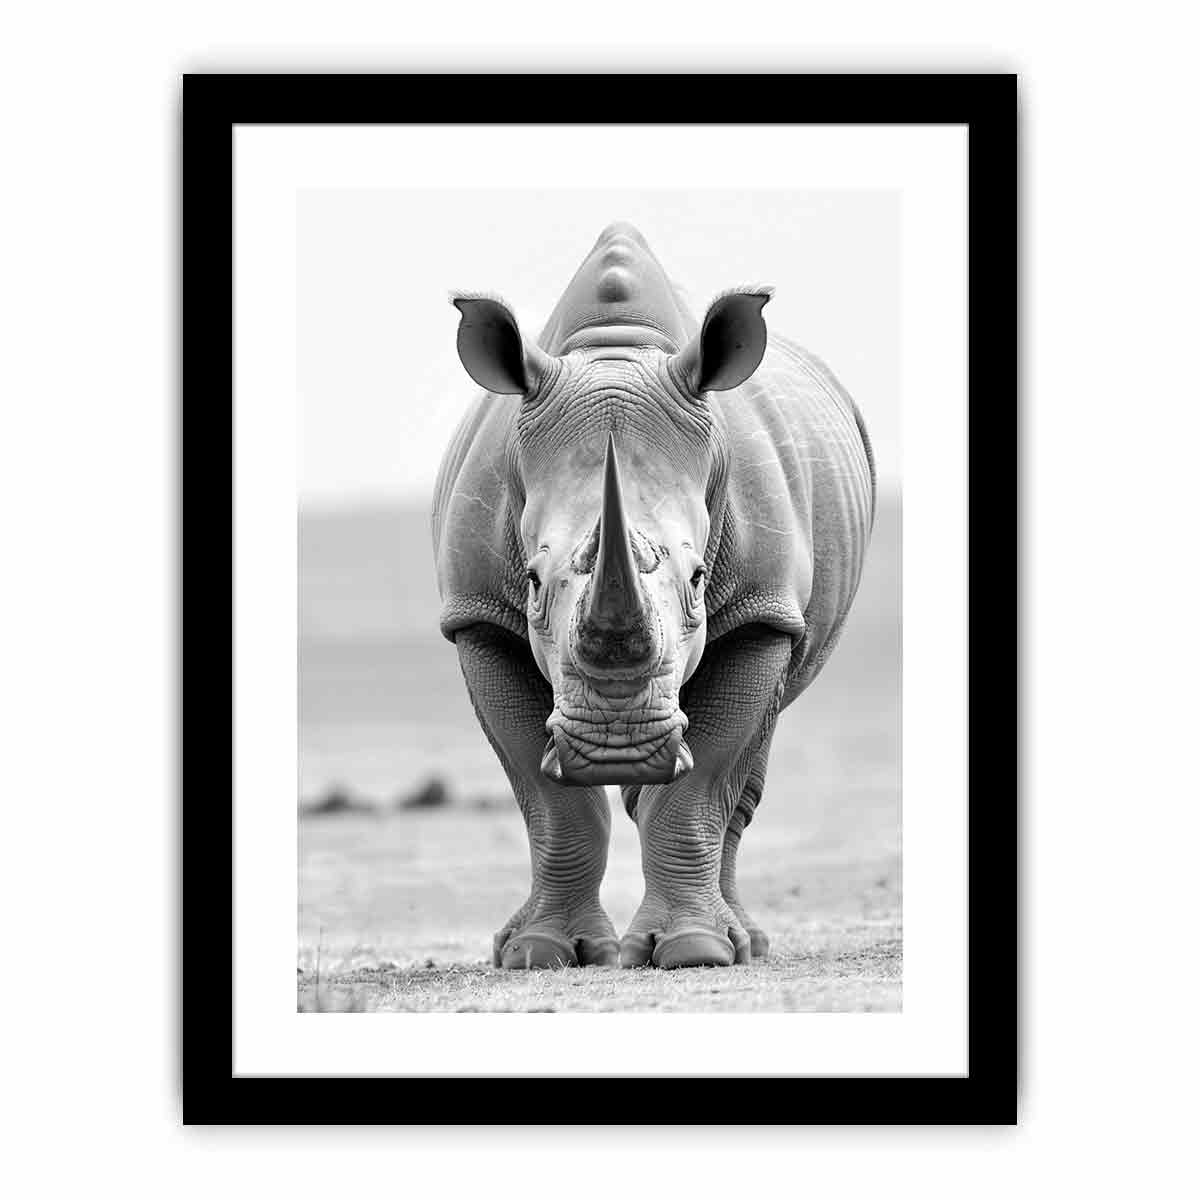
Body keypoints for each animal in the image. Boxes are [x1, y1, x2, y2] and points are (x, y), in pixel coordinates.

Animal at [432, 222, 875, 970]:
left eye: (699, 579)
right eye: (532, 582)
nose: (618, 746)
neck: (616, 353)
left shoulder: (760, 610)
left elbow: (701, 785)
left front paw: (696, 950)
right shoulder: (478, 617)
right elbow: (549, 799)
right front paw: (539, 954)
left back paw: (746, 942)